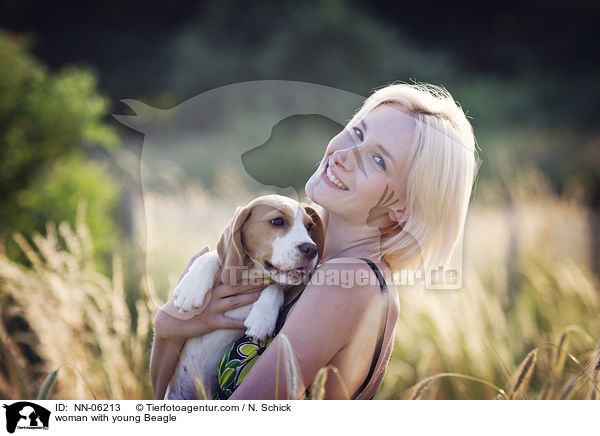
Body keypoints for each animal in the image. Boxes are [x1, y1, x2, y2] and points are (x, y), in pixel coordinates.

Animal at [164, 196, 324, 400]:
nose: (311, 249)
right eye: (278, 221)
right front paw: (190, 290)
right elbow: (210, 257)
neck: (254, 271)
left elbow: (275, 288)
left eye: (309, 226)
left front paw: (261, 320)